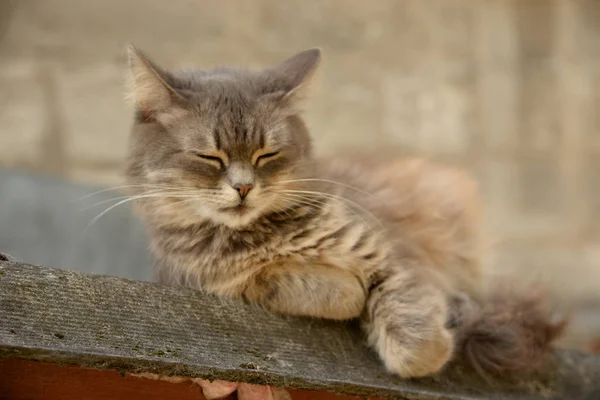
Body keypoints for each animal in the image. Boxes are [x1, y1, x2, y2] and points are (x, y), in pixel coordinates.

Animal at [124, 46, 564, 388]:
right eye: (209, 157)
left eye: (267, 155)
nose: (244, 188)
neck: (264, 235)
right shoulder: (208, 282)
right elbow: (305, 284)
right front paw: (349, 292)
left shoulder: (392, 255)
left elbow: (413, 334)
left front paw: (428, 345)